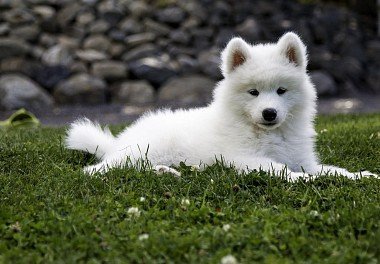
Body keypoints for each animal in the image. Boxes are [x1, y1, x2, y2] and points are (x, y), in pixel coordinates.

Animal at [66, 32, 374, 180]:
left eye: (281, 91)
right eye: (253, 92)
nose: (269, 113)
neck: (269, 134)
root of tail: (118, 141)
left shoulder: (304, 159)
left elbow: (330, 169)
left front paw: (359, 175)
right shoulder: (245, 159)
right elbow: (284, 171)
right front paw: (304, 181)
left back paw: (169, 172)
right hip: (143, 150)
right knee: (102, 170)